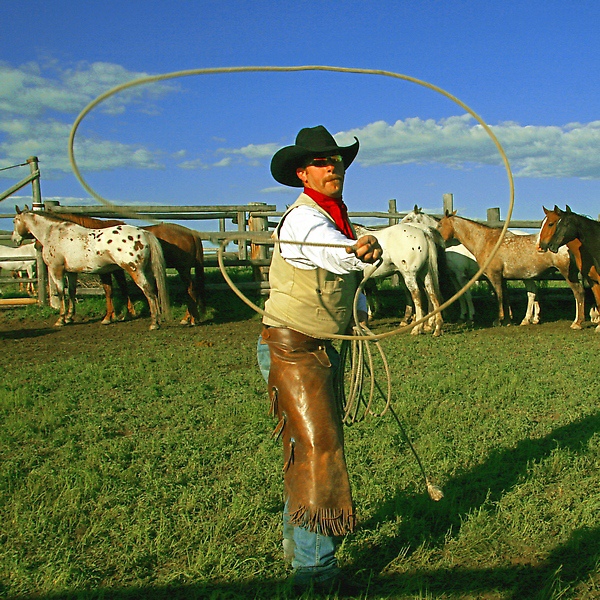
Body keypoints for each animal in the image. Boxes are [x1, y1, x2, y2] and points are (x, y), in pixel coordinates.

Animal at [12, 205, 171, 328]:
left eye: (14, 220)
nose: (14, 240)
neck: (54, 232)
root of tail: (144, 232)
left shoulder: (56, 270)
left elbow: (61, 292)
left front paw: (61, 319)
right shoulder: (71, 272)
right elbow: (71, 292)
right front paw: (69, 317)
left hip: (135, 271)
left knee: (148, 292)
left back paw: (154, 323)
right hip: (146, 271)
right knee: (154, 291)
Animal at [400, 207, 540, 328]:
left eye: (409, 218)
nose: (399, 225)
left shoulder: (461, 275)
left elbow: (466, 294)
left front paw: (471, 317)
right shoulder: (453, 276)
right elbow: (460, 295)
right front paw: (462, 316)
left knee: (530, 293)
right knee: (532, 292)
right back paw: (533, 318)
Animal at [436, 212, 584, 328]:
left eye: (440, 225)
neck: (486, 241)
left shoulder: (493, 276)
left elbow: (498, 296)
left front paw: (498, 319)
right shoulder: (502, 277)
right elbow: (505, 296)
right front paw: (508, 320)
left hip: (568, 273)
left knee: (578, 293)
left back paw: (577, 322)